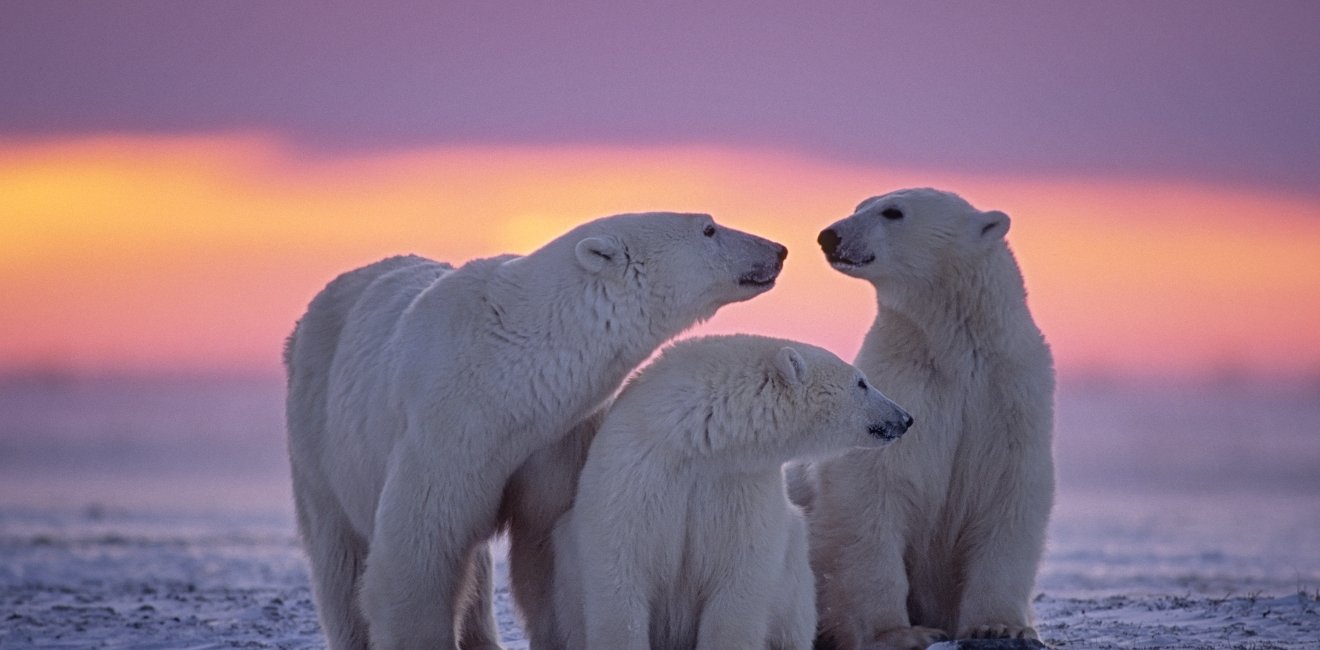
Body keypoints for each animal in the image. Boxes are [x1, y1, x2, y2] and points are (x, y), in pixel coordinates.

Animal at [283, 212, 781, 650]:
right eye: (709, 228)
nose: (778, 249)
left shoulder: (556, 439)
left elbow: (546, 545)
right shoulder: (446, 429)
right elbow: (419, 550)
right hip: (317, 429)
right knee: (338, 554)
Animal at [546, 335, 908, 650]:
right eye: (861, 382)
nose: (905, 417)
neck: (697, 440)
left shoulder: (740, 486)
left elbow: (739, 581)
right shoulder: (637, 473)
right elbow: (621, 571)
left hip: (794, 580)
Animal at [802, 184, 1050, 647]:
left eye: (893, 212)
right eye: (860, 205)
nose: (830, 235)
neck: (953, 351)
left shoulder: (1009, 396)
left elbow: (1010, 495)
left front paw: (1001, 625)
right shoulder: (902, 387)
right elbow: (871, 491)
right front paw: (899, 632)